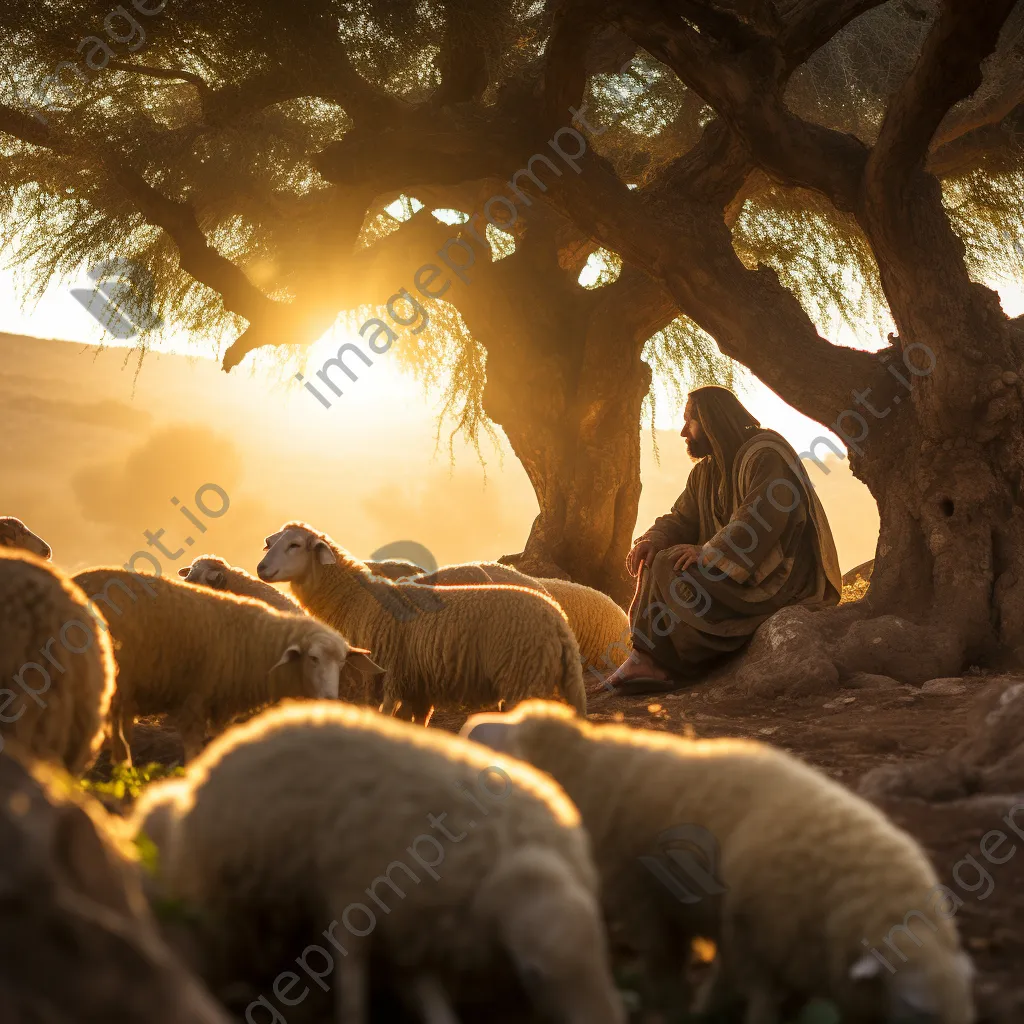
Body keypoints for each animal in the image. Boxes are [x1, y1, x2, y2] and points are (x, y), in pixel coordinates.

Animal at [128, 700, 622, 1024]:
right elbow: (353, 972)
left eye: (604, 955)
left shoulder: (415, 924)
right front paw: (352, 1013)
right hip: (231, 888)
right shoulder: (355, 892)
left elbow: (420, 986)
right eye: (533, 974)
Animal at [260, 524, 589, 724]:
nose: (261, 568)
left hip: (523, 680)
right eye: (271, 542)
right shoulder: (417, 686)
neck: (359, 600)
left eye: (294, 544)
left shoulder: (388, 677)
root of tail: (559, 623)